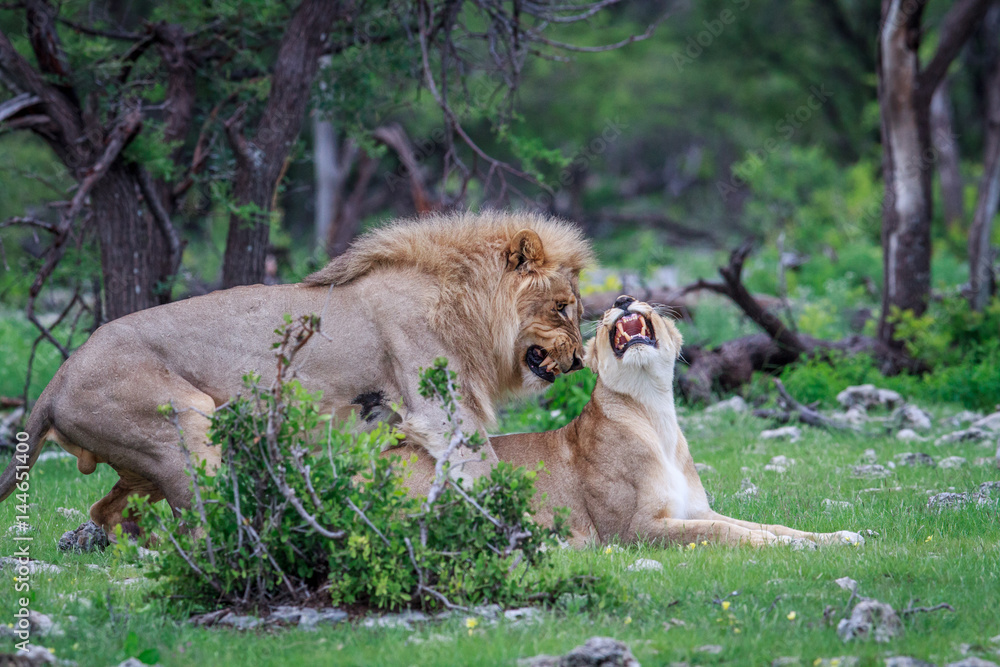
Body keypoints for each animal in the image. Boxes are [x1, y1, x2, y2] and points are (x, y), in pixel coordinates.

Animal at [0, 211, 593, 536]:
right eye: (564, 307)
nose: (581, 361)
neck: (468, 305)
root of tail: (56, 380)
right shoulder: (440, 410)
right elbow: (490, 470)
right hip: (189, 420)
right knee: (201, 524)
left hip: (140, 464)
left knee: (106, 511)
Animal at [393, 296, 865, 548]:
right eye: (607, 309)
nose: (621, 301)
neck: (654, 412)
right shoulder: (632, 530)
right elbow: (719, 531)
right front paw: (784, 545)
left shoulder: (693, 508)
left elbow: (762, 523)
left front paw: (839, 536)